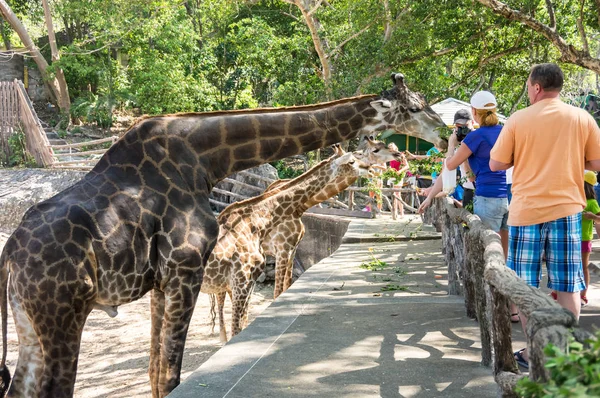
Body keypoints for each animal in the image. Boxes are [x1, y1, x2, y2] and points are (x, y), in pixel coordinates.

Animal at [206, 138, 404, 342]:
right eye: (375, 150)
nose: (399, 155)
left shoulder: (291, 250)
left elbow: (284, 288)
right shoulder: (277, 253)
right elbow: (275, 294)